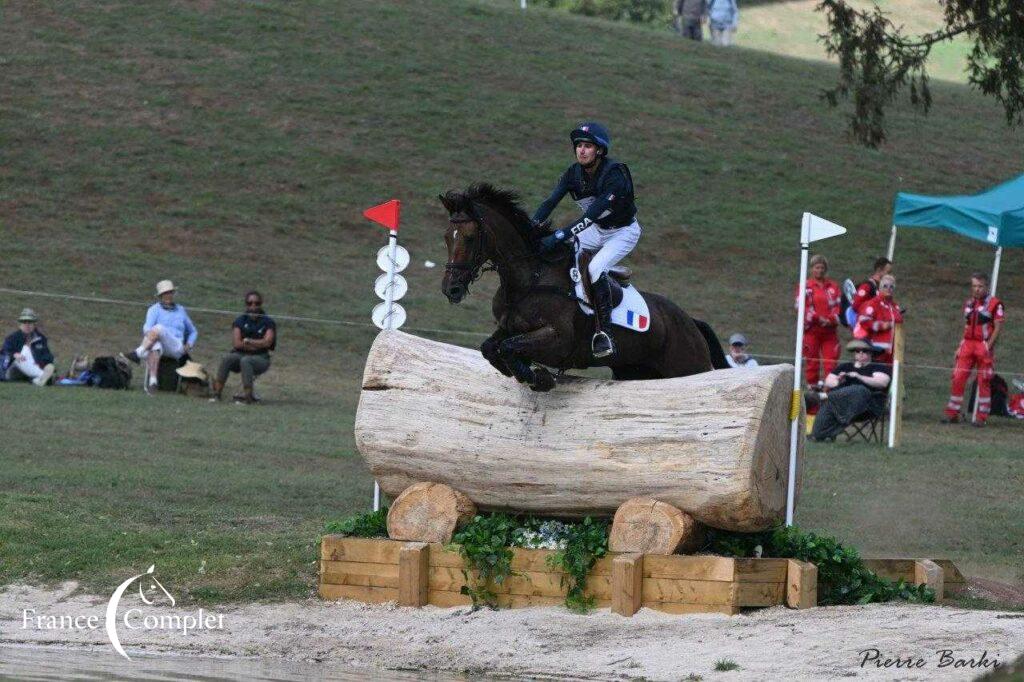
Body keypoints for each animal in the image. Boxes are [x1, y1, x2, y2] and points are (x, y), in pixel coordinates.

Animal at [440, 183, 729, 391]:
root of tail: (690, 321)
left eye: (469, 237)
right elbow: (492, 348)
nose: (450, 289)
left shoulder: (558, 338)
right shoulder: (508, 327)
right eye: (446, 237)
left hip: (687, 366)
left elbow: (509, 347)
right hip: (637, 371)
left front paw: (539, 378)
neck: (530, 279)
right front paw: (525, 372)